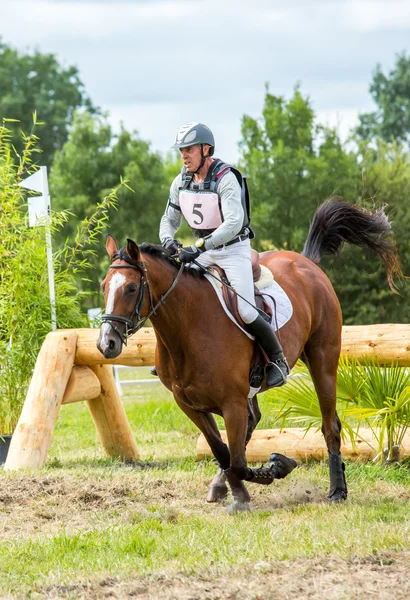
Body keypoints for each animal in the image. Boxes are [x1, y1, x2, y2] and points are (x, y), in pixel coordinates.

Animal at [97, 199, 400, 512]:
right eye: (103, 286)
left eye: (132, 287)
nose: (107, 343)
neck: (189, 328)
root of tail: (307, 264)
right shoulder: (189, 404)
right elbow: (223, 452)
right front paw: (236, 490)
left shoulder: (232, 402)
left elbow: (239, 462)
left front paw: (276, 468)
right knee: (252, 426)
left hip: (322, 361)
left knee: (330, 425)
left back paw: (337, 490)